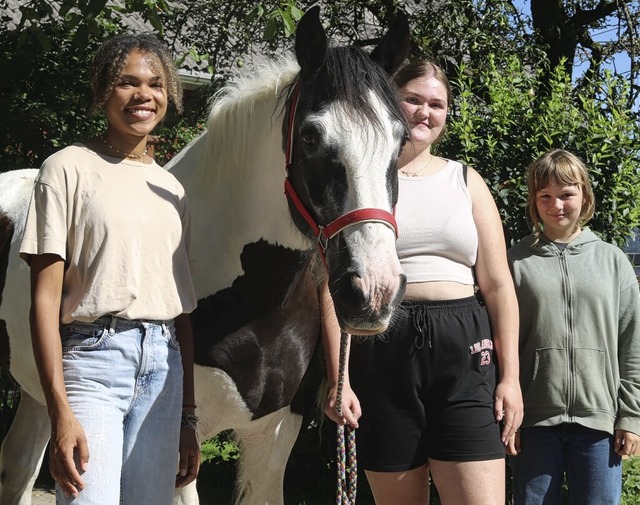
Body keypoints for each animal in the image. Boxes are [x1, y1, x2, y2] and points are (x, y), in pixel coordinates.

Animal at [0, 7, 410, 504]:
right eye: (311, 136)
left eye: (401, 139)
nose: (374, 292)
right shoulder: (179, 446)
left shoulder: (274, 436)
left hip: (40, 392)